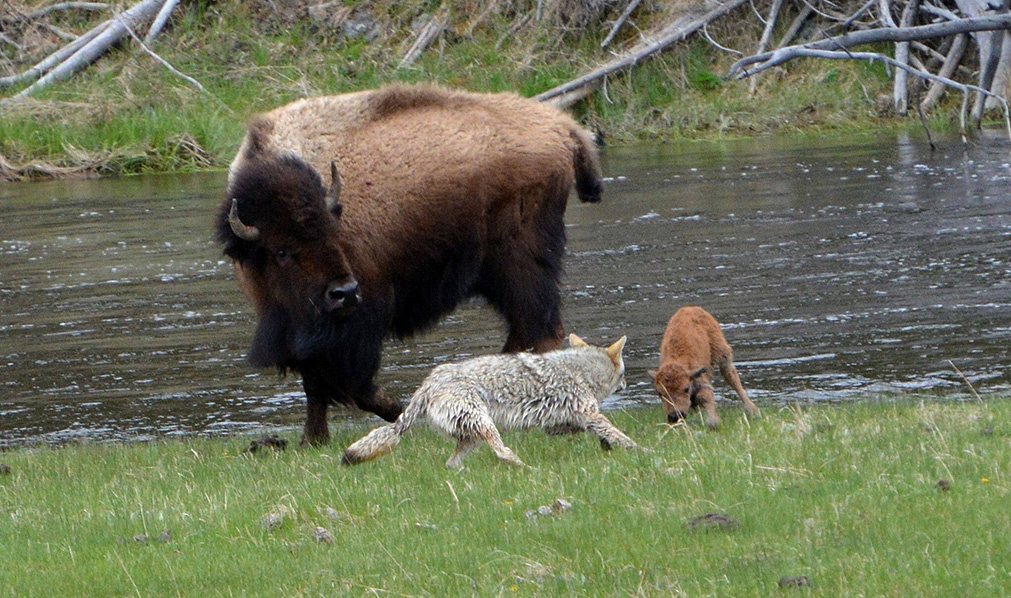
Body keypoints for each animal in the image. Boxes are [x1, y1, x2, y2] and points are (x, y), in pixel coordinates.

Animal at [215, 83, 598, 445]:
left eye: (333, 233)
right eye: (280, 251)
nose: (344, 293)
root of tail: (562, 126)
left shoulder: (357, 326)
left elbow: (353, 386)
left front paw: (398, 413)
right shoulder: (303, 334)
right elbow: (317, 387)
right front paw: (313, 440)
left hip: (519, 264)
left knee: (540, 329)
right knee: (526, 332)